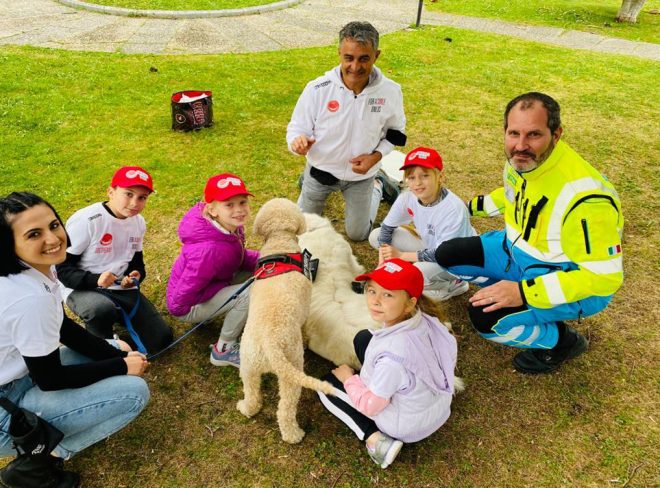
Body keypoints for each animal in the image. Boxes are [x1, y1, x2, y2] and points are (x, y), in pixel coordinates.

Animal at [236, 199, 332, 446]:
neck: (279, 243)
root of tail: (270, 343)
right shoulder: (306, 304)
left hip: (247, 366)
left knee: (252, 393)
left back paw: (246, 408)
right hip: (293, 368)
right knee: (285, 409)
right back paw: (294, 435)